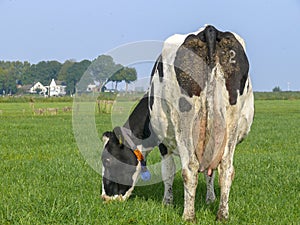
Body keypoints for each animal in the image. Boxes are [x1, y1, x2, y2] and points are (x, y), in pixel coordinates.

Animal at [101, 25, 253, 221]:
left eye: (107, 161)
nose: (105, 198)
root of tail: (210, 29)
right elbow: (210, 173)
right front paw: (210, 199)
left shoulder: (163, 142)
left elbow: (168, 171)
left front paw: (167, 202)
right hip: (230, 121)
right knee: (226, 168)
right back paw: (222, 215)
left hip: (185, 123)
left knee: (189, 169)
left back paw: (188, 216)